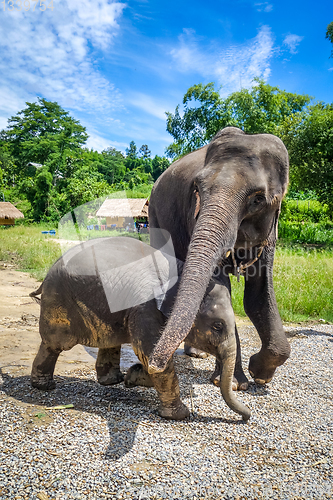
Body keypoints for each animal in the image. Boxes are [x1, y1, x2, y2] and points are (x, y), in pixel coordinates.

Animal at [30, 236, 249, 420]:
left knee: (110, 340)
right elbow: (149, 352)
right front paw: (180, 415)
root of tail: (50, 269)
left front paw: (132, 377)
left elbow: (153, 358)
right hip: (58, 300)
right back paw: (44, 386)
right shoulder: (145, 307)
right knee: (55, 344)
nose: (247, 417)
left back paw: (113, 381)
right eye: (218, 326)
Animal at [148, 124, 290, 386]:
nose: (154, 366)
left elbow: (258, 295)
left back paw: (198, 353)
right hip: (154, 215)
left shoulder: (270, 234)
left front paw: (259, 374)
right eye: (197, 189)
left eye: (258, 199)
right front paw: (235, 382)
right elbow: (221, 288)